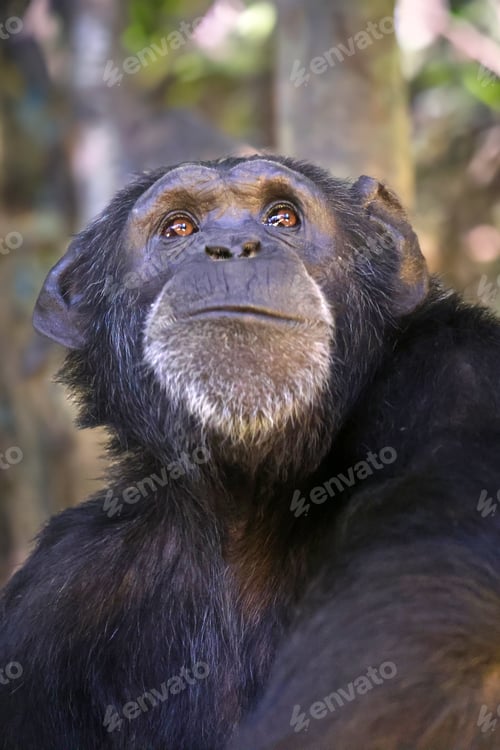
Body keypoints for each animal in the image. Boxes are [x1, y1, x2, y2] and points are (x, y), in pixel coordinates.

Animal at [1, 155, 500, 750]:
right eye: (179, 228)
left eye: (282, 217)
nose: (235, 246)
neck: (245, 504)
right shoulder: (48, 599)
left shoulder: (463, 382)